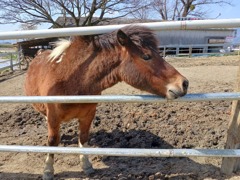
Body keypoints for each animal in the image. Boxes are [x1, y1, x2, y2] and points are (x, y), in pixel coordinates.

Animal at [24, 25, 189, 179]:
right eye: (146, 56)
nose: (184, 83)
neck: (72, 79)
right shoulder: (53, 118)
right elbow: (52, 142)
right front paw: (48, 171)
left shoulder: (87, 116)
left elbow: (83, 139)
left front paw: (86, 165)